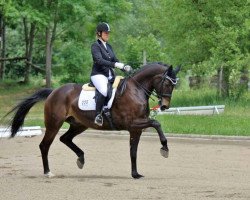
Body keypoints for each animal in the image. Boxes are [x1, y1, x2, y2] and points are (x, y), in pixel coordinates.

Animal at [6, 62, 180, 178]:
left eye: (174, 85)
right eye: (166, 82)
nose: (164, 106)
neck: (136, 90)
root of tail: (53, 92)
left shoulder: (135, 129)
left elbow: (133, 152)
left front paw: (135, 174)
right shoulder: (132, 123)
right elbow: (156, 123)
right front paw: (165, 148)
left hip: (79, 125)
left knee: (65, 139)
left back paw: (81, 158)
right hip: (54, 124)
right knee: (44, 145)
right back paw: (48, 172)